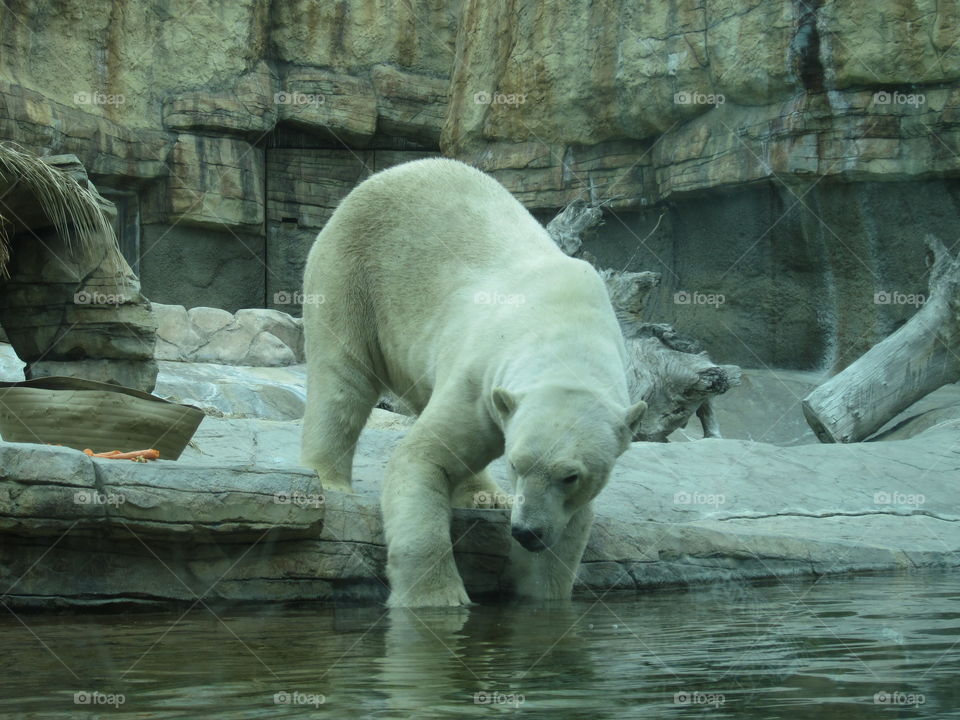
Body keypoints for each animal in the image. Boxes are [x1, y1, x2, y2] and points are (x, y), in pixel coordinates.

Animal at [300, 158, 646, 608]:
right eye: (516, 464)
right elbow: (420, 460)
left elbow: (568, 531)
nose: (527, 532)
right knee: (342, 378)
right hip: (351, 269)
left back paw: (487, 495)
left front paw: (542, 594)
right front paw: (438, 598)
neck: (566, 331)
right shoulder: (480, 380)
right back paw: (329, 479)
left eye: (570, 476)